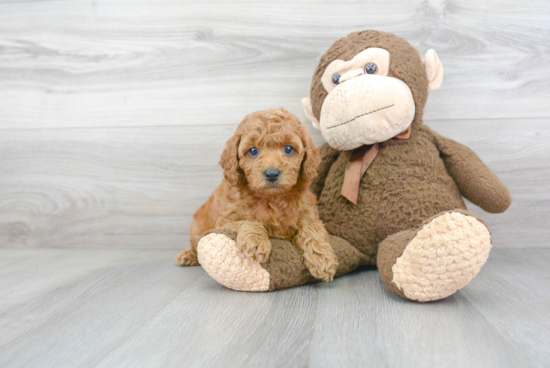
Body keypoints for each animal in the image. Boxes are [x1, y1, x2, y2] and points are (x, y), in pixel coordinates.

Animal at [177, 108, 340, 280]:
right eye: (253, 151)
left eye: (288, 149)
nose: (272, 173)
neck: (273, 199)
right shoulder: (225, 221)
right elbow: (248, 222)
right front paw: (255, 243)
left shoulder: (310, 216)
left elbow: (312, 229)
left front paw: (323, 260)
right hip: (197, 227)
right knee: (196, 243)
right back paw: (188, 255)